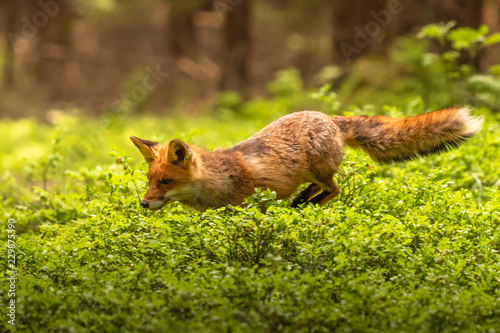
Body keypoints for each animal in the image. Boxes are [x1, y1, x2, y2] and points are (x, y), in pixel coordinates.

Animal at [131, 107, 482, 211]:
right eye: (149, 181)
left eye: (167, 181)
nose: (144, 204)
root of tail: (328, 116)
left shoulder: (253, 206)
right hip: (310, 173)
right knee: (317, 189)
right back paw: (300, 203)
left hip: (320, 169)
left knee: (333, 189)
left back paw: (307, 206)